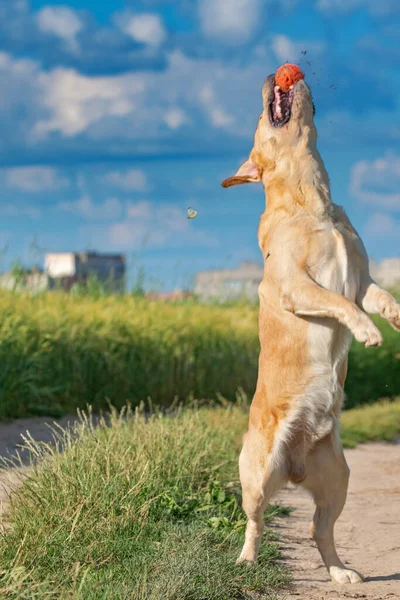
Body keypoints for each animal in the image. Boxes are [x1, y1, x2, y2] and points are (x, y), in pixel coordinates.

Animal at [222, 68, 400, 584]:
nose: (275, 73)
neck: (313, 202)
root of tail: (295, 467)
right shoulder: (295, 285)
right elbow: (338, 302)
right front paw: (367, 332)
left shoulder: (363, 279)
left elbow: (378, 297)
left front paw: (395, 316)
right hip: (258, 473)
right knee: (256, 521)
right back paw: (246, 560)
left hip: (338, 477)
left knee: (319, 530)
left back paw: (340, 572)